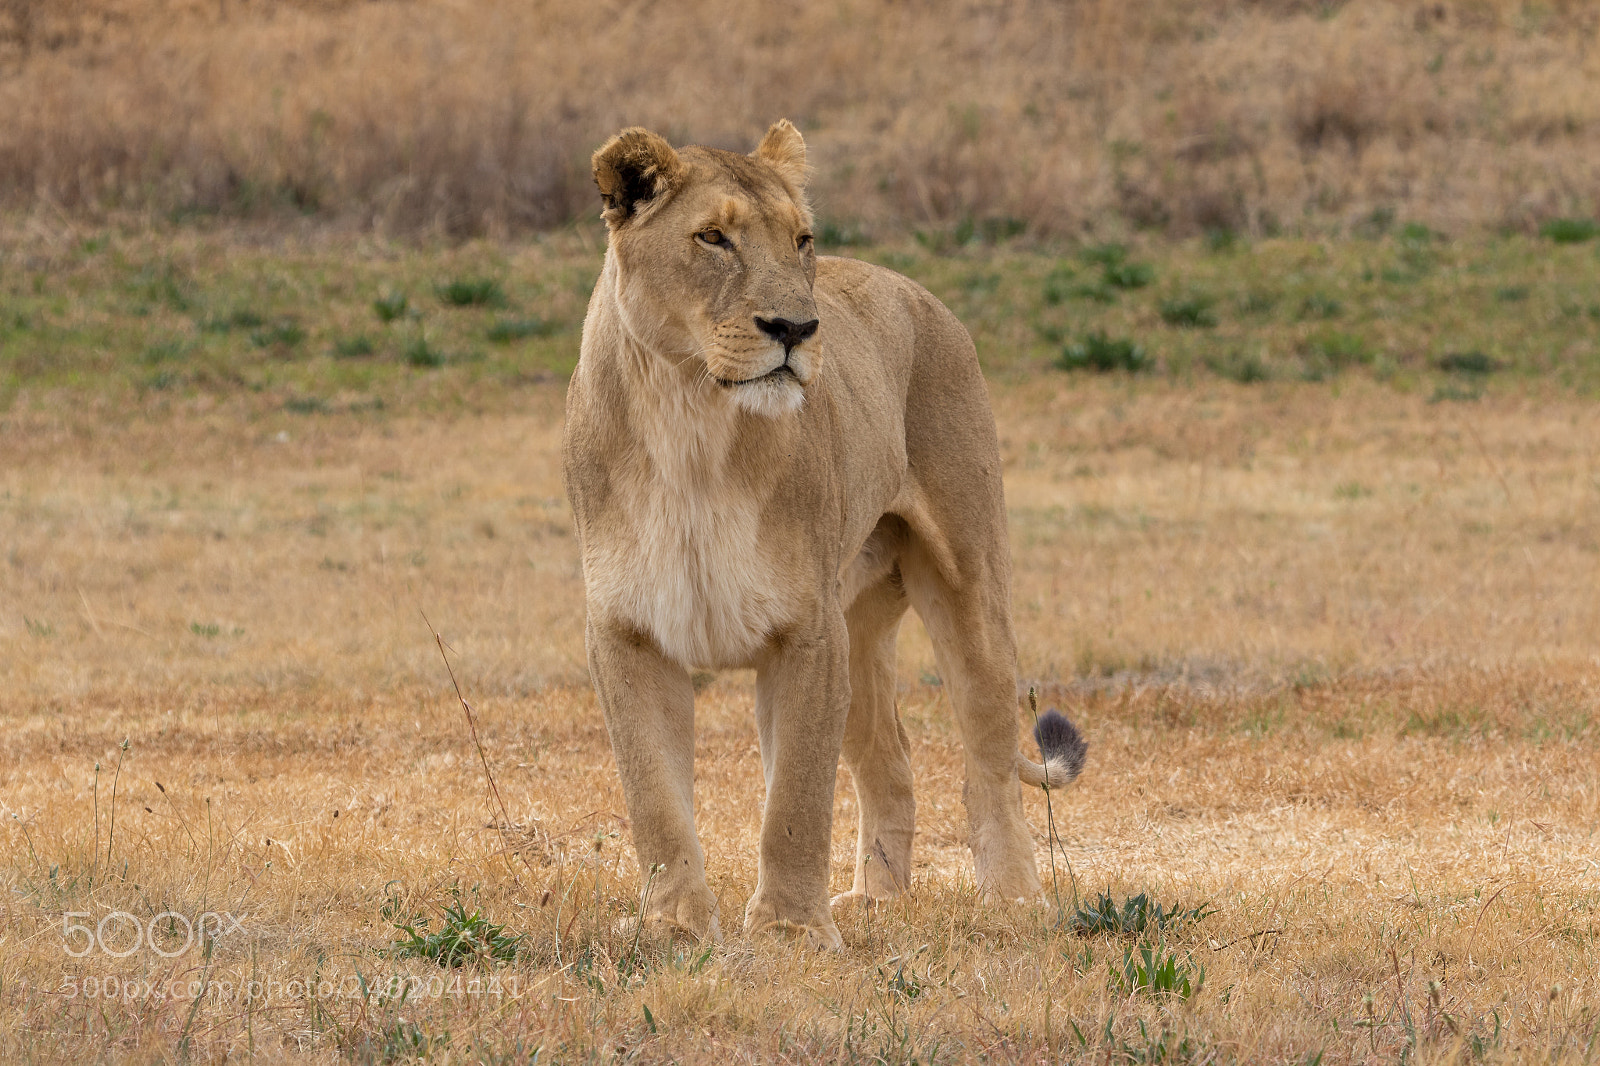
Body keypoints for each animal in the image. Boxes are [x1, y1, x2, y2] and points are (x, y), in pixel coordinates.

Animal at [561, 120, 1087, 951]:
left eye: (801, 240)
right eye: (714, 237)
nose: (797, 328)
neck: (688, 414)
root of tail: (917, 291)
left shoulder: (807, 636)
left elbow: (796, 803)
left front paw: (789, 929)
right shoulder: (626, 634)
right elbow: (656, 802)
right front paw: (676, 928)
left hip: (966, 588)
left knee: (990, 759)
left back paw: (1012, 898)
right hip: (861, 629)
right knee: (893, 761)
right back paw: (876, 898)